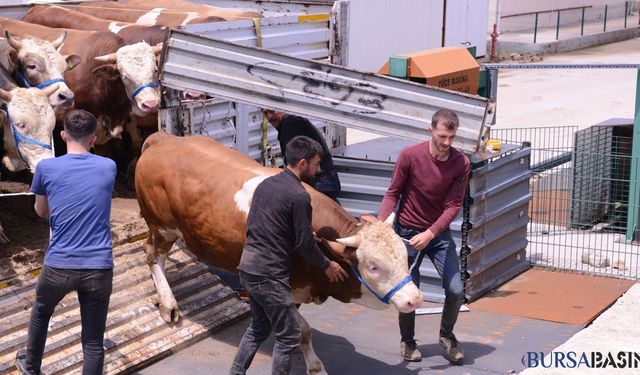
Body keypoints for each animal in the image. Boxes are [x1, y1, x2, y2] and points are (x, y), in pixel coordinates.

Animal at [138, 134, 422, 374]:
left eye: (404, 256)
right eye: (373, 266)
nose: (415, 299)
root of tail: (163, 139)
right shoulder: (283, 287)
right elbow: (302, 330)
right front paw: (315, 367)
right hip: (162, 226)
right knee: (152, 256)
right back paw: (168, 304)